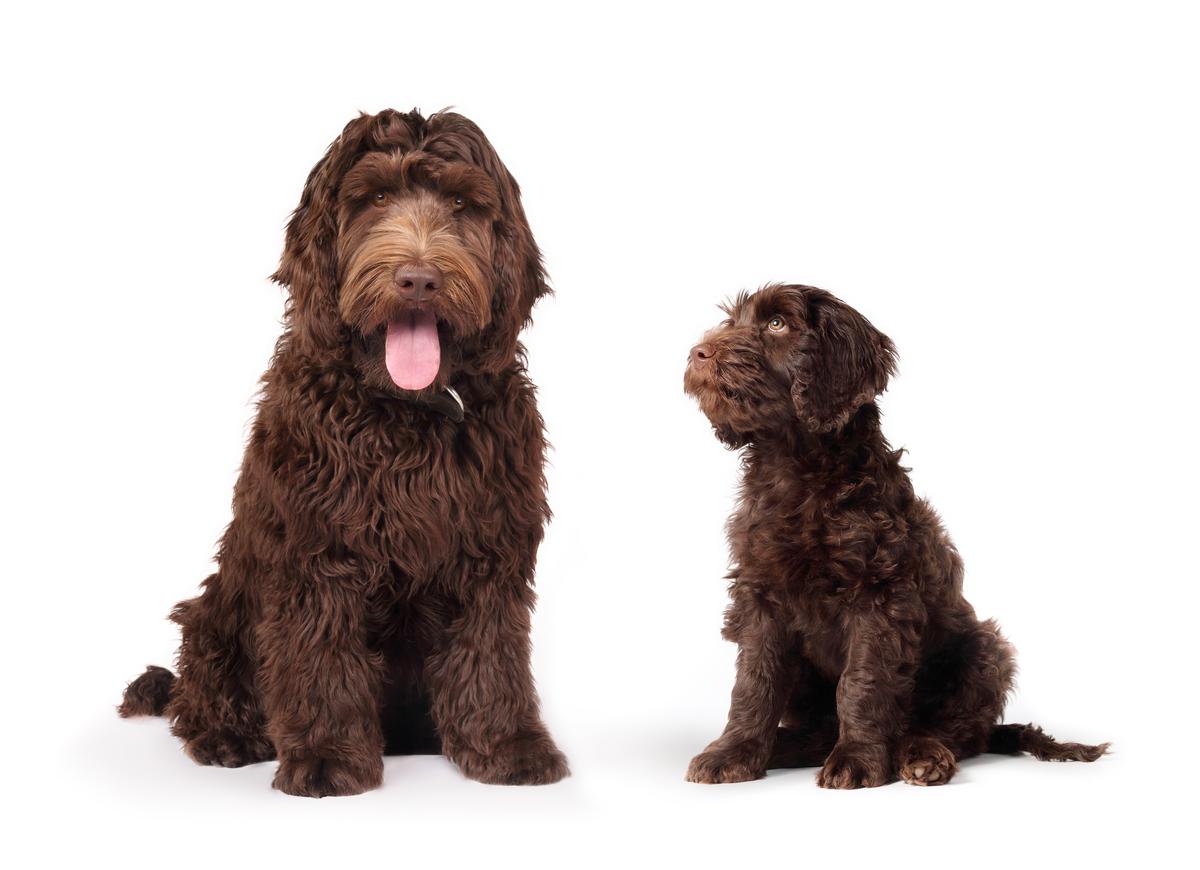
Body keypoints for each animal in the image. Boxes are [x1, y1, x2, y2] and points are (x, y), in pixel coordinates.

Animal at [119, 108, 568, 792]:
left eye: (461, 203)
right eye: (376, 198)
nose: (418, 278)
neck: (409, 411)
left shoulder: (489, 545)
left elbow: (490, 648)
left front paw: (505, 744)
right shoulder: (317, 549)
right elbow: (320, 654)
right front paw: (328, 755)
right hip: (219, 610)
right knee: (202, 685)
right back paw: (228, 735)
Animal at [686, 285, 1104, 787]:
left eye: (777, 324)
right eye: (734, 322)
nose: (698, 353)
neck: (795, 466)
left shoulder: (879, 593)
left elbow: (862, 681)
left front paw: (858, 759)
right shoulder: (760, 593)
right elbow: (755, 680)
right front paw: (735, 752)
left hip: (984, 650)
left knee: (956, 730)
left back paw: (922, 753)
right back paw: (787, 746)